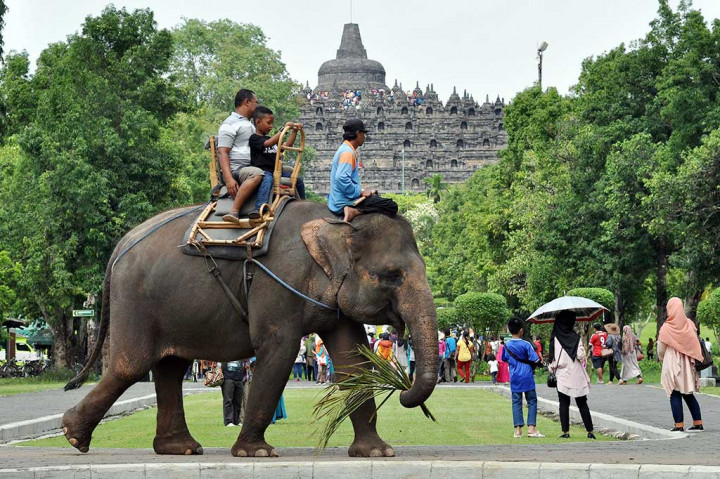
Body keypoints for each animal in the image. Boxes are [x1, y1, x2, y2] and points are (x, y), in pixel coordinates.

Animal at [63, 201, 438, 460]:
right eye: (392, 276)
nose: (404, 392)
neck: (334, 223)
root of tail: (121, 244)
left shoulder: (336, 295)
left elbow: (352, 360)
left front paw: (378, 452)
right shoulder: (277, 283)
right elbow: (279, 350)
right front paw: (256, 453)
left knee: (170, 367)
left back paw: (180, 448)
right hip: (136, 301)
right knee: (131, 365)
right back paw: (72, 434)